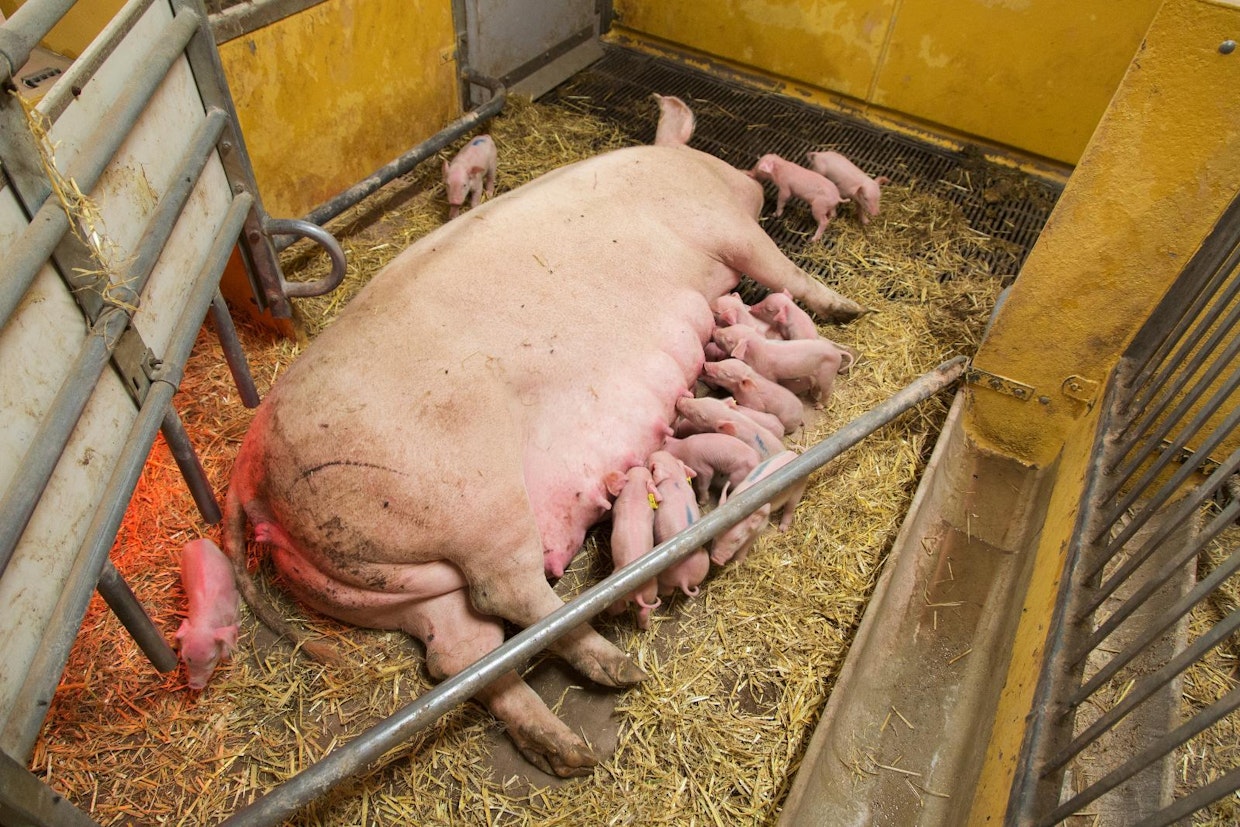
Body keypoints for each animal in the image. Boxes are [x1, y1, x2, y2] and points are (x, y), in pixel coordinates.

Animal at [177, 538, 239, 690]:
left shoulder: (235, 599)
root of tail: (198, 540)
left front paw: (227, 655)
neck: (204, 624)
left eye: (212, 657)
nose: (195, 685)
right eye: (186, 657)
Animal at [648, 451, 709, 598]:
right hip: (704, 562)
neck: (674, 476)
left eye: (652, 468)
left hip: (665, 575)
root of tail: (684, 579)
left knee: (667, 590)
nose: (657, 452)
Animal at [714, 324, 848, 406]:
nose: (715, 329)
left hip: (828, 373)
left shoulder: (768, 373)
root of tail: (837, 352)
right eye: (730, 326)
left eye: (729, 340)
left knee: (829, 389)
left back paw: (818, 405)